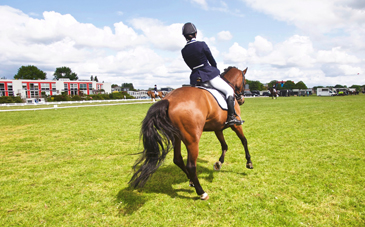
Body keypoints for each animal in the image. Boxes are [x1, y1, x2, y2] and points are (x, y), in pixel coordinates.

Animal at [129, 66, 252, 200]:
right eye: (245, 82)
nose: (242, 100)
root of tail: (169, 100)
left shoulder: (217, 128)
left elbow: (224, 145)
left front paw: (219, 163)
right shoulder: (235, 125)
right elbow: (244, 140)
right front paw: (249, 163)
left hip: (176, 137)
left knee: (178, 159)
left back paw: (192, 181)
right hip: (192, 140)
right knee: (191, 165)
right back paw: (201, 192)